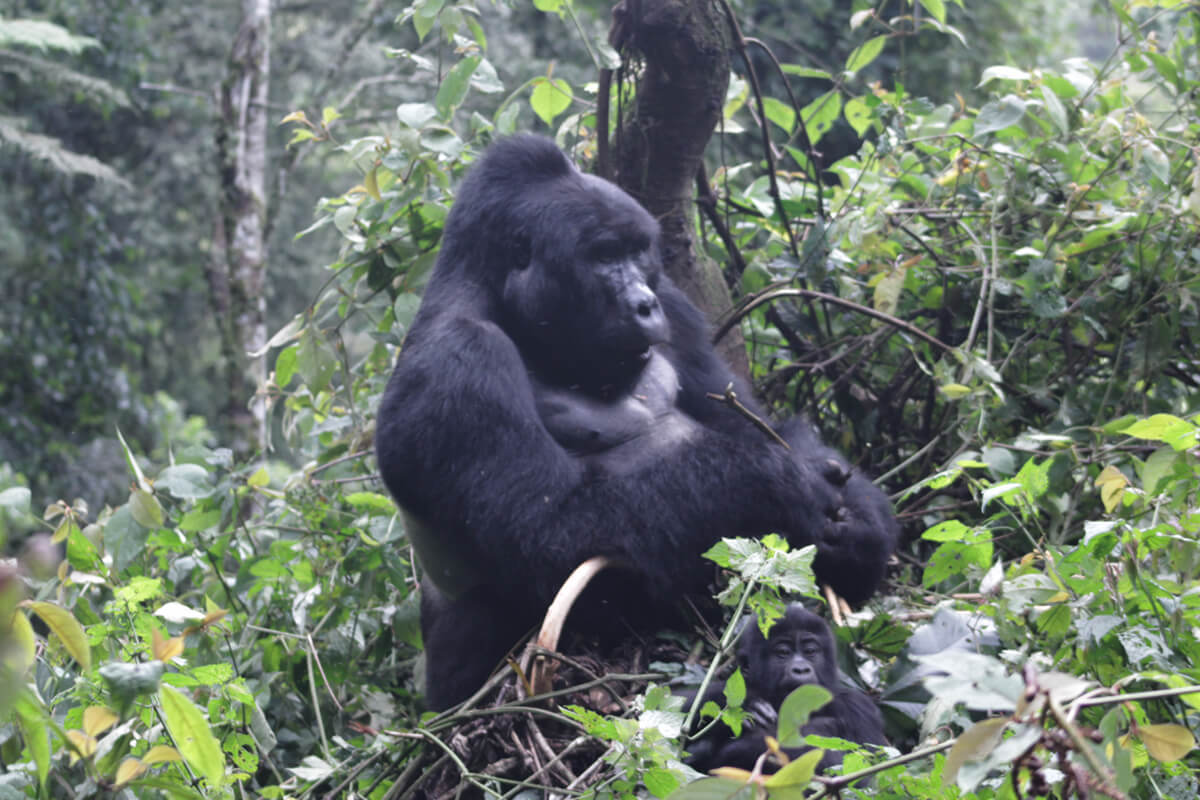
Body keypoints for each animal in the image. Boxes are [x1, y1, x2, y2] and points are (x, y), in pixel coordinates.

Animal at [376, 137, 902, 714]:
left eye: (637, 253)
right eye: (603, 256)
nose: (644, 305)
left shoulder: (676, 301)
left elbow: (755, 424)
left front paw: (862, 533)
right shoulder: (457, 361)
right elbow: (549, 537)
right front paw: (776, 488)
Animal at [681, 609, 888, 772]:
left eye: (810, 651)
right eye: (783, 653)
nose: (801, 669)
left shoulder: (857, 707)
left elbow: (869, 771)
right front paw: (748, 705)